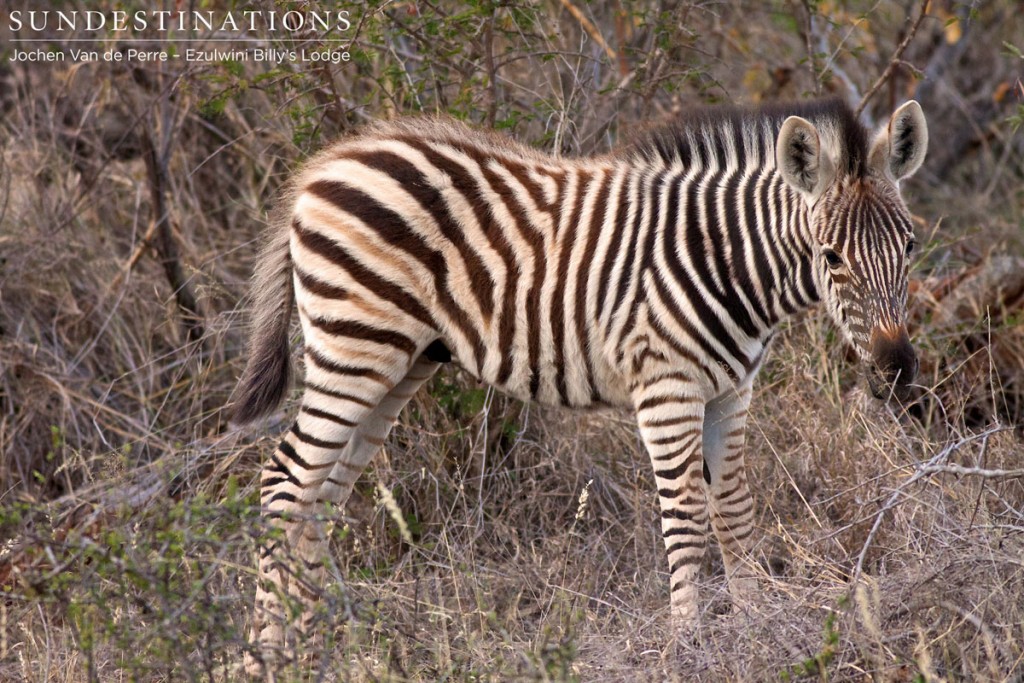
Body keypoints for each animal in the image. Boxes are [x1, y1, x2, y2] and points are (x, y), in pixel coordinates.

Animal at [232, 96, 929, 667]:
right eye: (830, 257)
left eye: (911, 246)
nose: (896, 368)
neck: (725, 264)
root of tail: (325, 165)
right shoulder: (666, 390)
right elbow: (685, 518)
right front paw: (688, 648)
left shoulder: (733, 393)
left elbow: (733, 511)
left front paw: (760, 629)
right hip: (353, 347)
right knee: (285, 481)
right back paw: (264, 655)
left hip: (400, 364)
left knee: (320, 499)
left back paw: (319, 647)